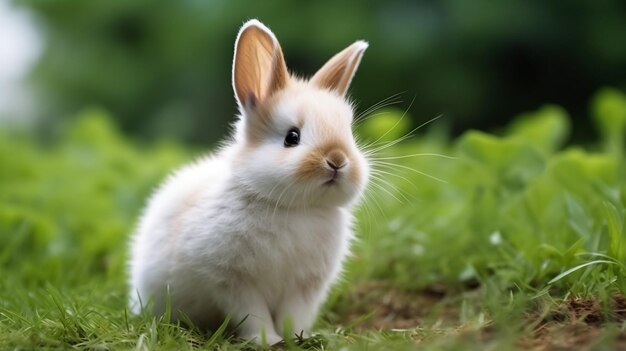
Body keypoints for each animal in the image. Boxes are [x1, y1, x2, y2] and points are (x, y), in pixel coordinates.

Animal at [129, 17, 368, 346]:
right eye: (292, 137)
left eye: (349, 134)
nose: (337, 160)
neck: (294, 208)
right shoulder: (232, 281)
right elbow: (253, 315)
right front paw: (268, 341)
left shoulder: (305, 287)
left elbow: (294, 314)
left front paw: (299, 337)